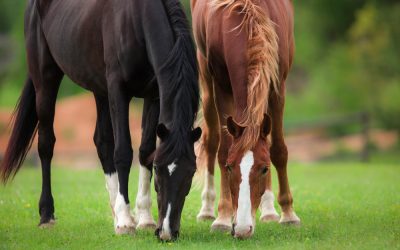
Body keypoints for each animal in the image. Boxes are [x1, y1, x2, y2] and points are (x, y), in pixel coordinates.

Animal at [0, 0, 200, 241]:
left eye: (190, 173)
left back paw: (117, 212)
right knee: (46, 144)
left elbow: (145, 151)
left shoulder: (153, 95)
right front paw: (126, 223)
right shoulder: (118, 89)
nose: (168, 232)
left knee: (102, 142)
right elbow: (123, 152)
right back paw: (47, 216)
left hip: (99, 89)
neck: (135, 19)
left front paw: (143, 218)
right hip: (45, 79)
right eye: (159, 170)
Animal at [191, 0, 300, 238]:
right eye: (230, 167)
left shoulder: (277, 84)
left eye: (264, 168)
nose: (241, 229)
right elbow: (223, 150)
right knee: (211, 141)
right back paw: (207, 209)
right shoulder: (221, 86)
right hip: (205, 78)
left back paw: (269, 210)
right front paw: (223, 217)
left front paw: (288, 214)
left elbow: (278, 150)